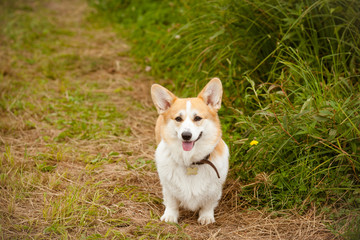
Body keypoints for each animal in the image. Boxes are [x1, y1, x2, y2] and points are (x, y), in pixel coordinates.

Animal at [150, 78, 229, 225]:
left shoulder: (215, 188)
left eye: (197, 118)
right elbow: (171, 202)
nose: (186, 135)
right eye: (178, 119)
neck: (190, 161)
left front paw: (206, 217)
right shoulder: (168, 187)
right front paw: (170, 216)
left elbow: (208, 204)